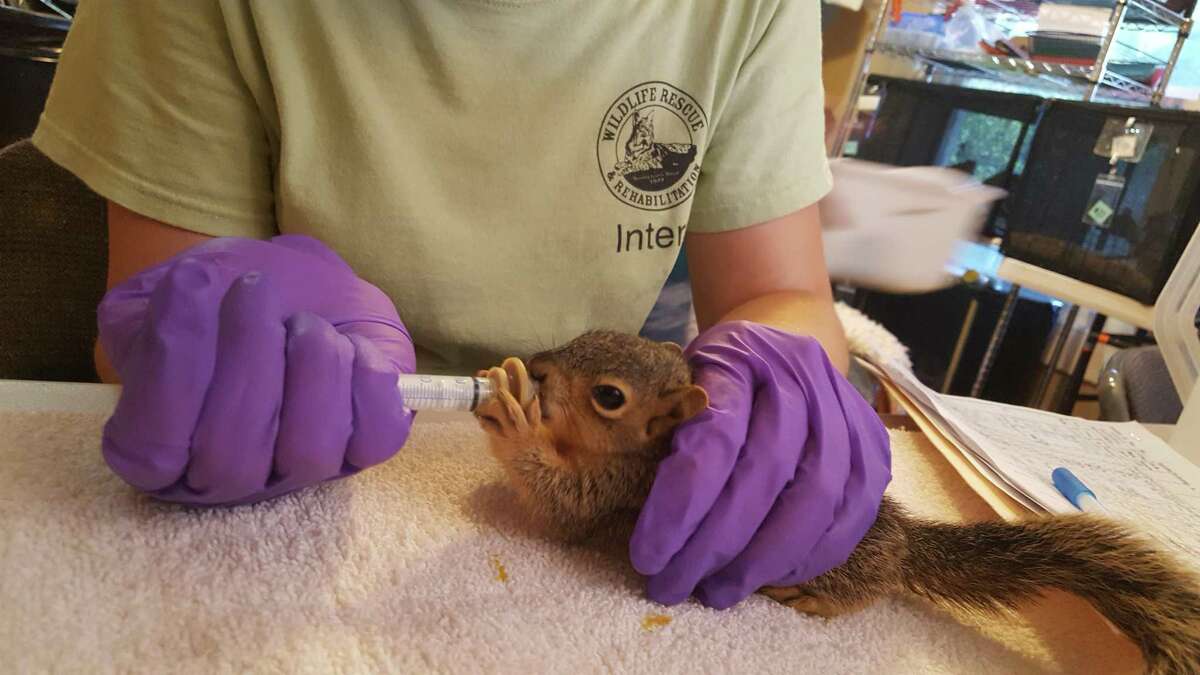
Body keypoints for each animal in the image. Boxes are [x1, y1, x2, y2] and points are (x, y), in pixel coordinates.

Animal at [475, 329, 1200, 667]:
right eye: (589, 334)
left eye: (609, 395)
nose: (537, 366)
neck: (649, 454)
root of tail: (904, 537)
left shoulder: (626, 497)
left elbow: (563, 503)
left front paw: (513, 416)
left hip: (849, 567)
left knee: (872, 589)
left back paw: (818, 599)